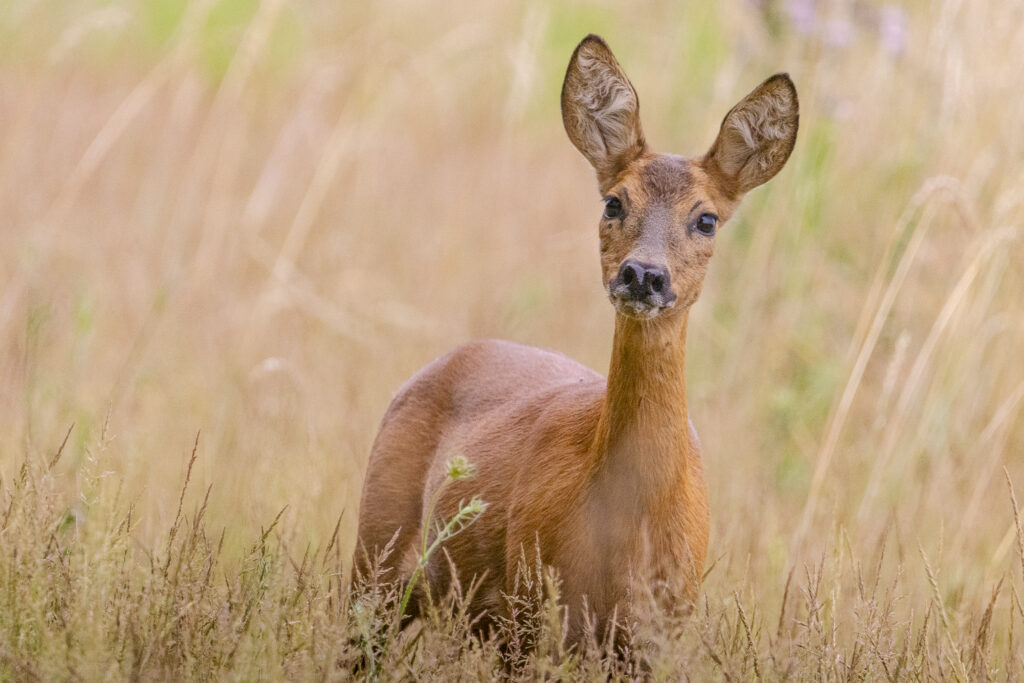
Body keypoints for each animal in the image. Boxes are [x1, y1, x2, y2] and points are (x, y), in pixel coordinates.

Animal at [354, 34, 798, 651]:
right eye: (614, 202)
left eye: (707, 219)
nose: (643, 274)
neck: (627, 523)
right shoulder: (531, 602)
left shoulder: (659, 631)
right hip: (377, 551)